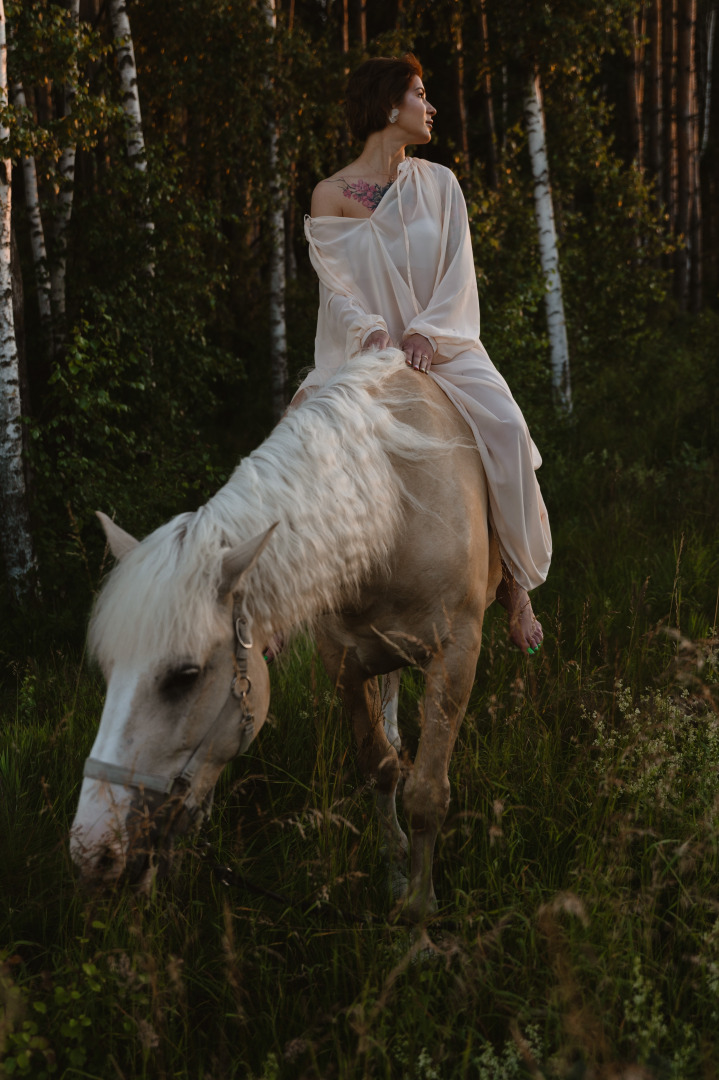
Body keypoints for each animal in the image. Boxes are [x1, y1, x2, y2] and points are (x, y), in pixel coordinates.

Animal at [71, 347, 498, 920]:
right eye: (109, 671)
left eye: (184, 676)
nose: (92, 851)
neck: (396, 512)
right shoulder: (344, 663)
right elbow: (380, 768)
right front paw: (396, 873)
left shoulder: (455, 658)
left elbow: (427, 794)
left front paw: (419, 910)